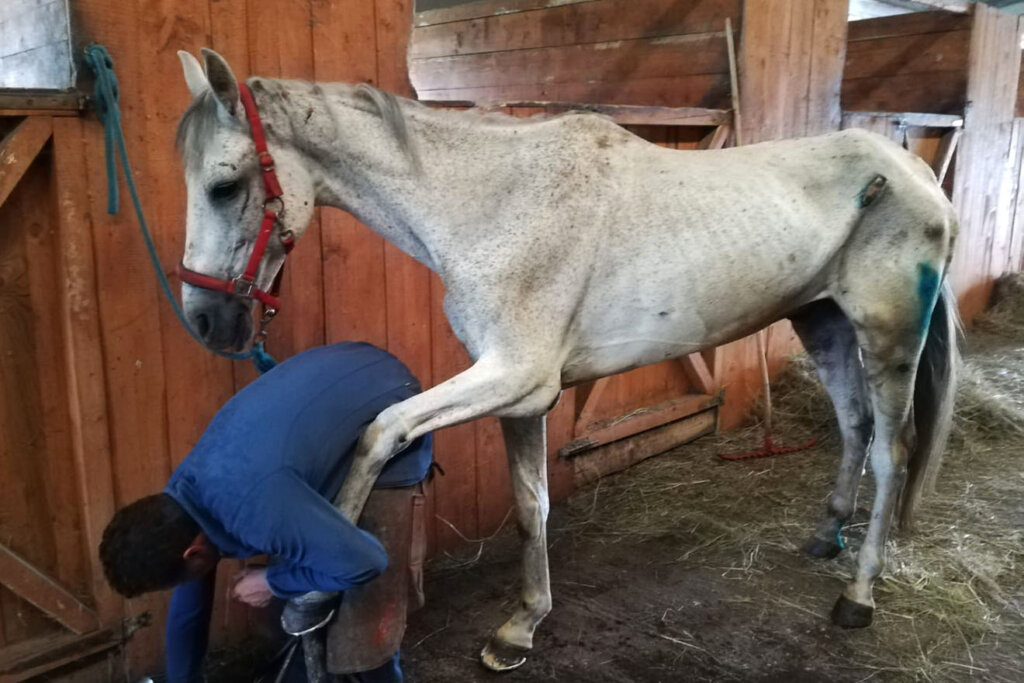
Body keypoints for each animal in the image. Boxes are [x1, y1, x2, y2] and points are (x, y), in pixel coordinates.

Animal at [174, 48, 959, 672]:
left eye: (224, 185)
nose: (206, 319)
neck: (494, 203)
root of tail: (914, 171)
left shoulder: (513, 376)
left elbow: (380, 432)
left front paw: (308, 595)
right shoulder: (519, 396)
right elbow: (531, 506)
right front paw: (521, 627)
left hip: (889, 338)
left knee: (893, 452)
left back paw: (857, 595)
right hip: (821, 323)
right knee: (854, 426)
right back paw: (826, 538)